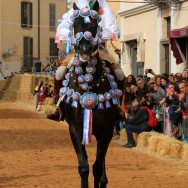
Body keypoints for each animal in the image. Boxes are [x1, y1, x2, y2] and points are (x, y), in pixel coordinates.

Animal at [59, 1, 120, 187]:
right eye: (75, 24)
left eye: (94, 26)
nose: (84, 49)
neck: (89, 85)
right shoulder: (75, 130)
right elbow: (84, 167)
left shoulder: (106, 131)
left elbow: (97, 167)